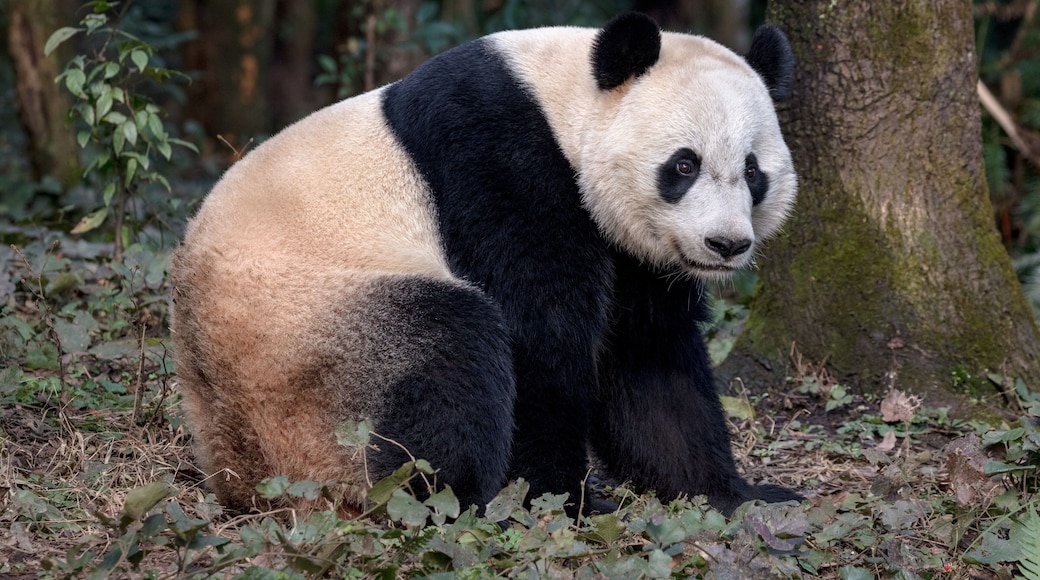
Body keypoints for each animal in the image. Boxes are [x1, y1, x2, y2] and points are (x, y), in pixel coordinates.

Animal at [171, 12, 800, 517]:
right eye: (683, 165)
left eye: (753, 171)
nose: (726, 244)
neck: (563, 104)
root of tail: (237, 464)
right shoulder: (501, 168)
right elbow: (540, 340)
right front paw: (561, 502)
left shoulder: (634, 255)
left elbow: (649, 356)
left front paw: (734, 495)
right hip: (305, 342)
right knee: (446, 352)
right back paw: (454, 501)